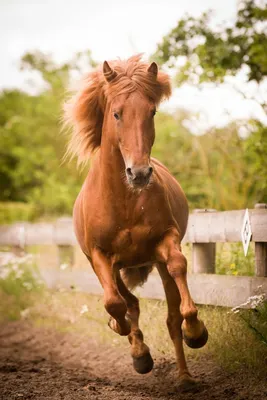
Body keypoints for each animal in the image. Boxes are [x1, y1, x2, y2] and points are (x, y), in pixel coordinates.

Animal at [63, 54, 208, 390]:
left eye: (151, 112)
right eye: (116, 114)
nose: (139, 173)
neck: (125, 201)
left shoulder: (166, 241)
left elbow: (179, 267)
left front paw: (196, 332)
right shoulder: (100, 256)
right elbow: (115, 304)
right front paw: (136, 349)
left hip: (154, 265)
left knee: (170, 317)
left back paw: (184, 375)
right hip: (111, 267)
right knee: (127, 302)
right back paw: (137, 348)